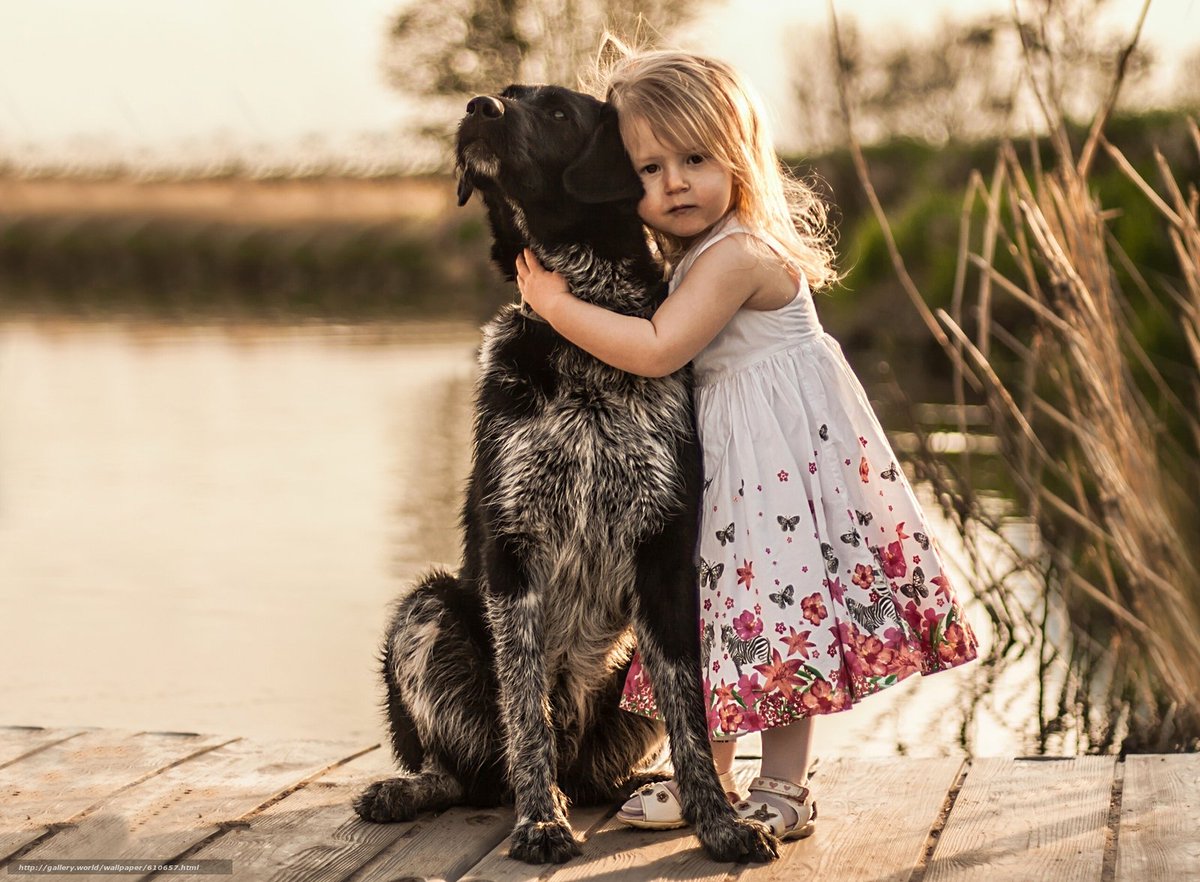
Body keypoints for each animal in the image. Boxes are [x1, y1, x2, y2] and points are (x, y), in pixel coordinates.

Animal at [350, 86, 777, 864]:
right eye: (507, 96)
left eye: (554, 111)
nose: (478, 108)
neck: (587, 321)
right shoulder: (513, 549)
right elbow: (526, 712)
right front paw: (539, 821)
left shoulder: (665, 552)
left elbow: (690, 714)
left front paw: (719, 823)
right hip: (427, 607)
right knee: (465, 773)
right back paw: (410, 789)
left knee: (599, 768)